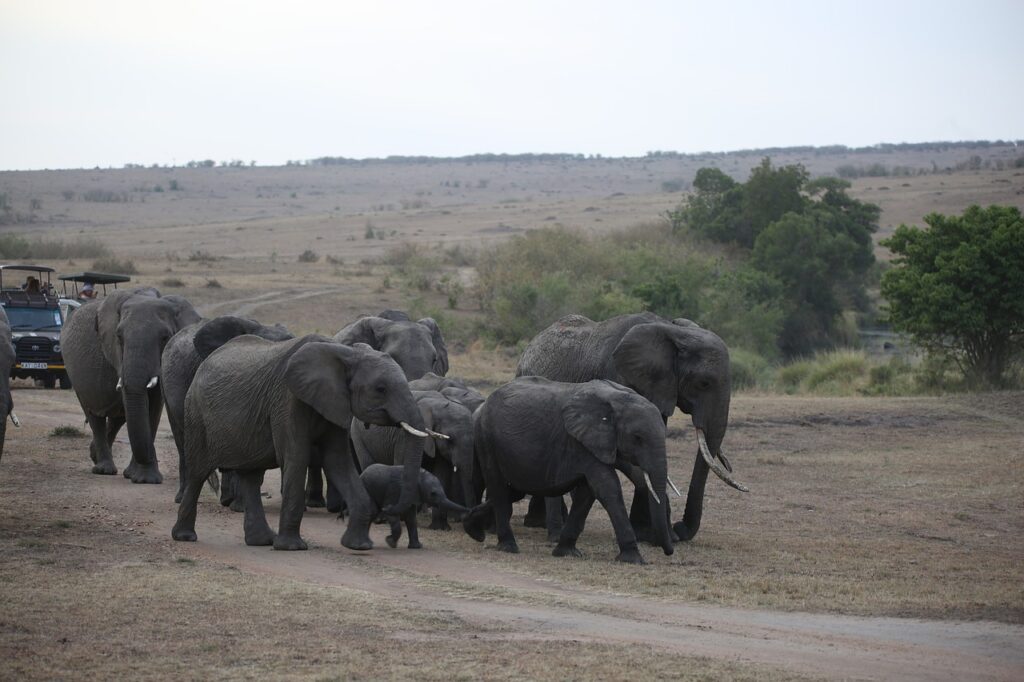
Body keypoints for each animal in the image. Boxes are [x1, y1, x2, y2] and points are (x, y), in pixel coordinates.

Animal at [62, 288, 201, 483]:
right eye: (119, 337)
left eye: (165, 338)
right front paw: (143, 477)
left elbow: (154, 407)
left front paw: (143, 478)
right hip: (74, 375)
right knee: (94, 416)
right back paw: (103, 469)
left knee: (117, 419)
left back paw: (95, 456)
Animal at [171, 335, 430, 551]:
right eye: (380, 389)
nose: (386, 513)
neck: (344, 353)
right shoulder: (288, 399)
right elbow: (296, 457)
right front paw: (291, 547)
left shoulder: (334, 403)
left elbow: (337, 462)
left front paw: (359, 546)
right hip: (195, 414)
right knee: (198, 473)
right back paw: (185, 537)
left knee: (251, 477)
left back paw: (261, 541)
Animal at [351, 389, 476, 530]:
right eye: (451, 439)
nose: (467, 517)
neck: (436, 403)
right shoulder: (404, 436)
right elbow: (402, 465)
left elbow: (441, 474)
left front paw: (440, 527)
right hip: (358, 435)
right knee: (369, 464)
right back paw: (380, 518)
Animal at [464, 376, 674, 564]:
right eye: (638, 438)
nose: (669, 552)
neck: (617, 398)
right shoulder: (580, 442)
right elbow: (607, 488)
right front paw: (633, 559)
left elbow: (588, 493)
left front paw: (566, 553)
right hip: (486, 439)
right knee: (498, 487)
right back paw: (508, 547)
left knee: (513, 491)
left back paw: (473, 529)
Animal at [515, 312, 748, 543]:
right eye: (704, 383)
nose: (681, 528)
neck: (674, 331)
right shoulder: (620, 376)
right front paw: (657, 535)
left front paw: (648, 534)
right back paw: (540, 523)